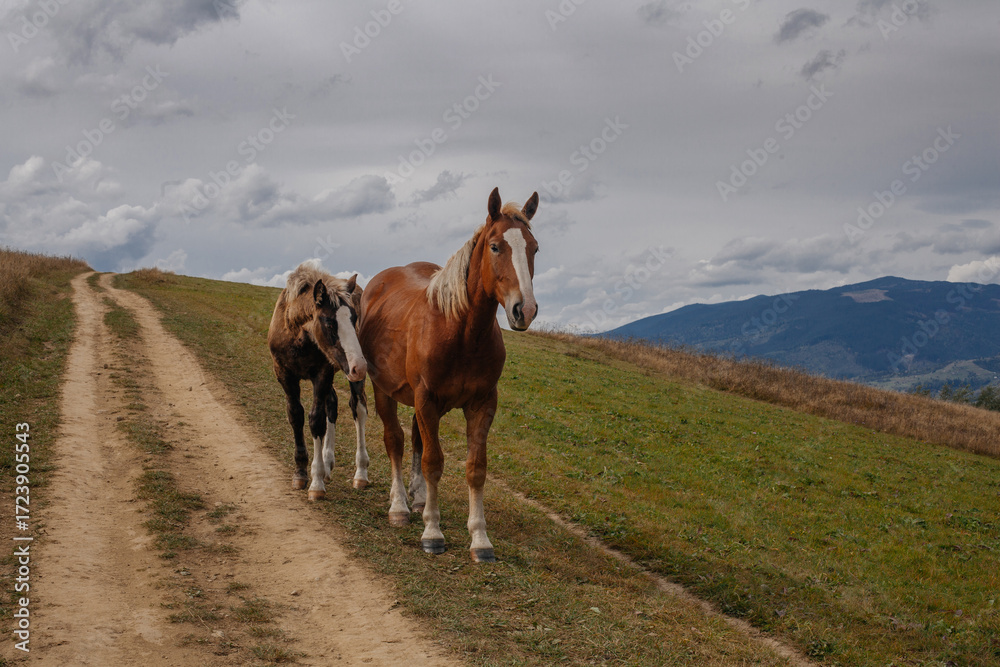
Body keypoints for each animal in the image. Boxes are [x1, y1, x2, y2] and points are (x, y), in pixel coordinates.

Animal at [267, 261, 370, 501]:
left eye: (354, 318)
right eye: (329, 323)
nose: (360, 366)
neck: (298, 336)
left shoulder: (322, 373)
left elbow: (316, 420)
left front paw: (316, 482)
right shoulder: (284, 375)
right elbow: (296, 416)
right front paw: (301, 472)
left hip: (347, 376)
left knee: (358, 408)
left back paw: (360, 473)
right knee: (332, 404)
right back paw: (328, 461)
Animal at [358, 187, 539, 562]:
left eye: (534, 247)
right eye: (495, 246)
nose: (524, 309)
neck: (461, 331)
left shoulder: (482, 403)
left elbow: (475, 468)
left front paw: (480, 539)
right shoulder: (426, 398)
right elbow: (432, 461)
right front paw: (432, 532)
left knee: (415, 440)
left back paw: (419, 498)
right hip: (385, 391)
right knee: (396, 441)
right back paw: (400, 506)